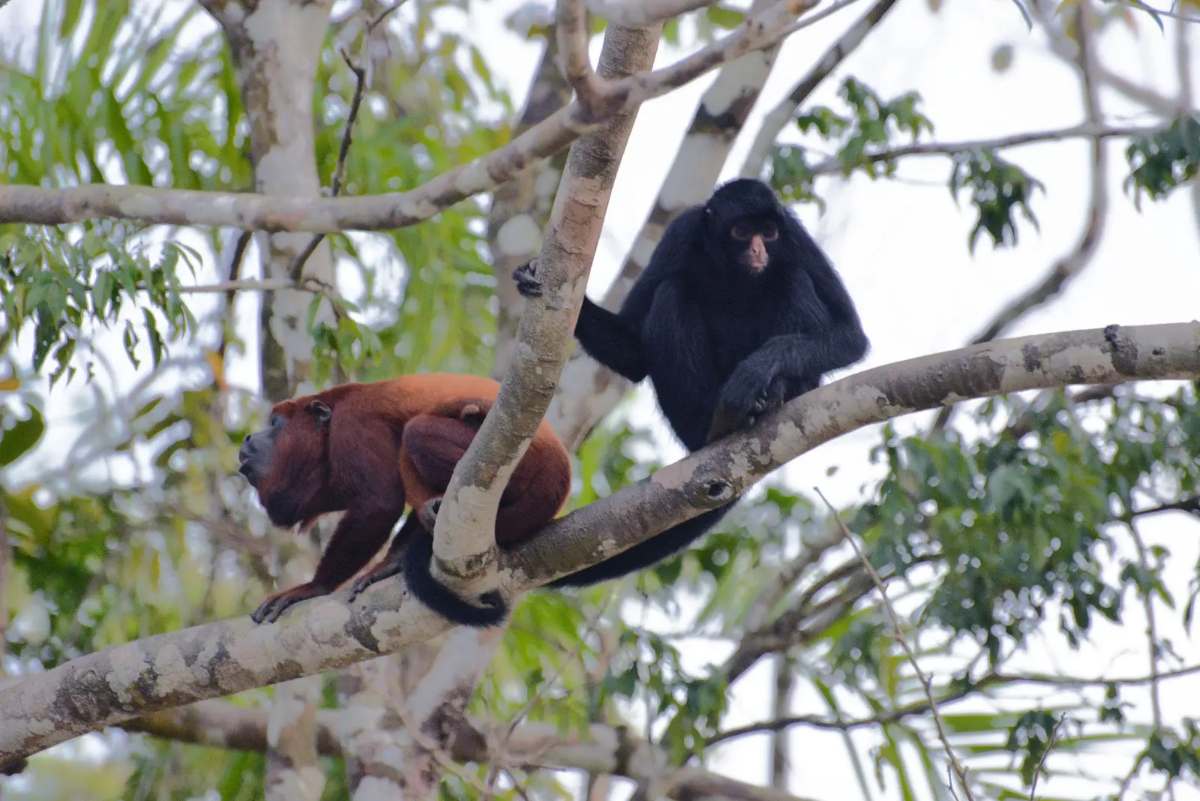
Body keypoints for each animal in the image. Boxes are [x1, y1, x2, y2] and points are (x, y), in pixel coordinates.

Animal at [237, 374, 571, 625]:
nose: (248, 438)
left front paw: (313, 587)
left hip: (524, 462)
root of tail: (562, 476)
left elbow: (380, 503)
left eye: (276, 424)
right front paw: (393, 562)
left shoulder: (354, 422)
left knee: (417, 431)